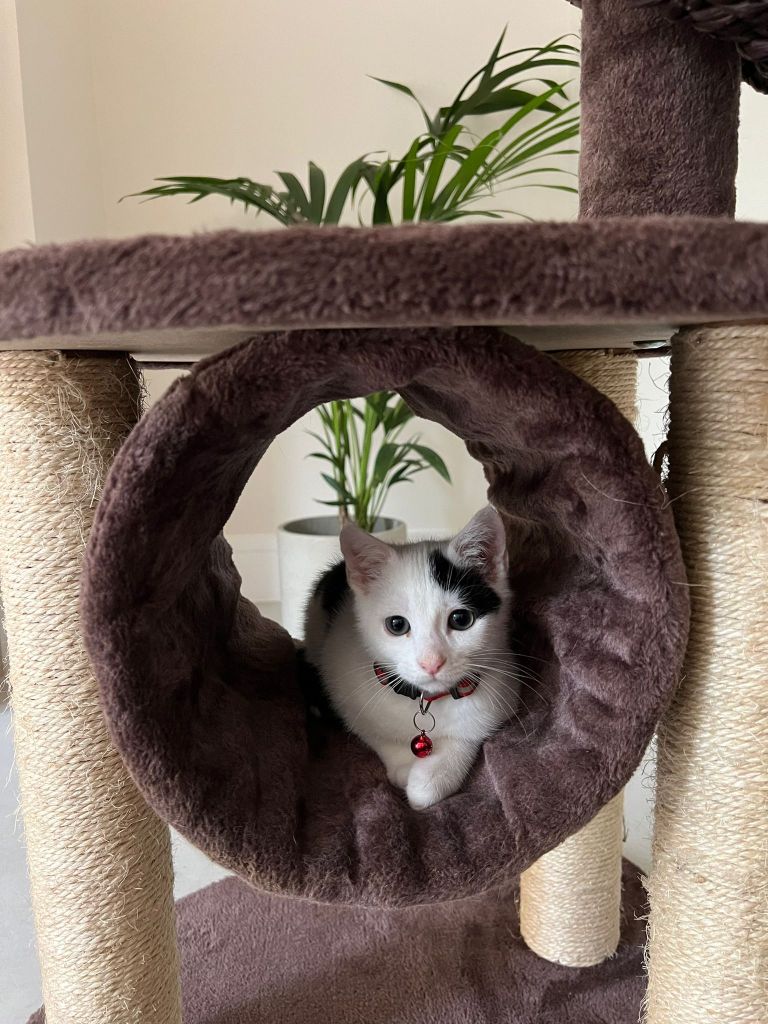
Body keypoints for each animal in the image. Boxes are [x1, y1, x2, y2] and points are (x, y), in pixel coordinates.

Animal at [304, 506, 518, 810]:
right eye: (396, 625)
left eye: (461, 619)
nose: (432, 662)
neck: (426, 701)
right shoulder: (342, 684)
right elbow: (374, 732)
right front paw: (404, 767)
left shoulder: (501, 695)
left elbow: (464, 738)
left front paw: (427, 781)